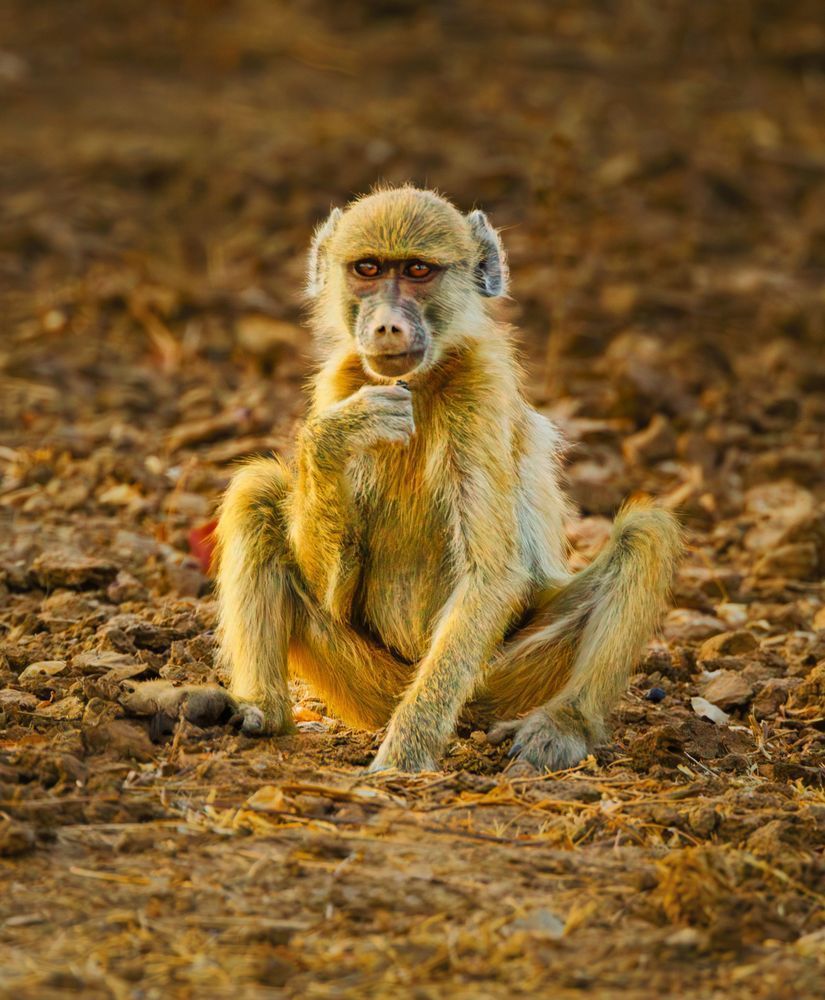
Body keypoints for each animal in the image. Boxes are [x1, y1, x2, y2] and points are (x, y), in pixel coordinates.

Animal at [214, 185, 681, 773]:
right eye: (368, 269)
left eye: (418, 270)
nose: (387, 325)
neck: (422, 379)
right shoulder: (339, 379)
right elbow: (334, 591)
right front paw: (338, 434)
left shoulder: (479, 389)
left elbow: (492, 574)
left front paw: (403, 758)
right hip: (363, 683)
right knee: (254, 494)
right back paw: (265, 711)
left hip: (502, 676)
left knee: (645, 534)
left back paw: (564, 724)